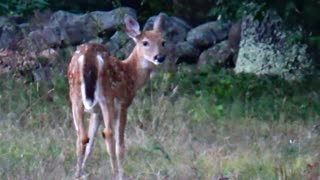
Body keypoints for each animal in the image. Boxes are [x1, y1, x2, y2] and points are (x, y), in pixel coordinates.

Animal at [68, 13, 168, 179]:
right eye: (145, 43)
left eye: (163, 42)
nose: (159, 57)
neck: (130, 74)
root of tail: (89, 56)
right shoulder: (123, 103)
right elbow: (120, 144)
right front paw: (121, 174)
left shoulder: (96, 112)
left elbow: (90, 142)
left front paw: (81, 172)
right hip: (106, 96)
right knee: (108, 134)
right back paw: (114, 173)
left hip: (75, 97)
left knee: (81, 136)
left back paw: (76, 173)